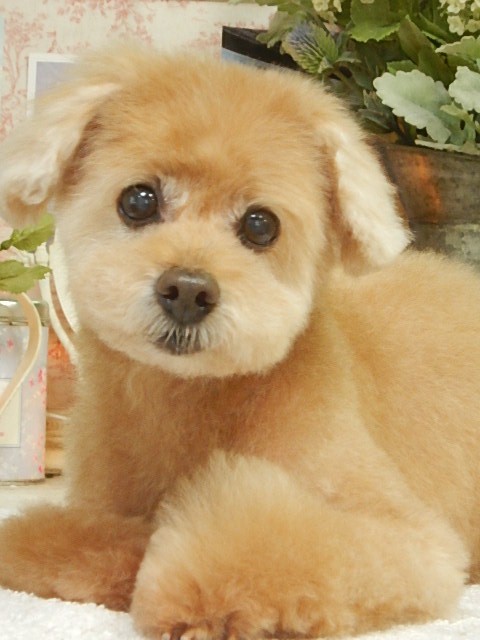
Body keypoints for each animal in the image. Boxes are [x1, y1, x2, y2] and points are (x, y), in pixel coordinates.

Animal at [0, 44, 479, 639]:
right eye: (138, 200)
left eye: (260, 225)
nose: (187, 289)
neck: (192, 399)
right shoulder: (102, 500)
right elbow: (79, 539)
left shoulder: (409, 539)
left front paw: (174, 587)